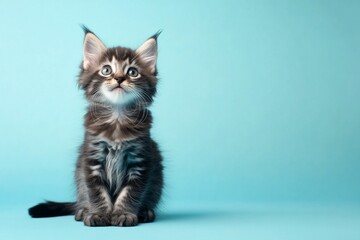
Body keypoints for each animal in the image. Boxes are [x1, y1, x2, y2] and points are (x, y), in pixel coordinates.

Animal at [28, 28, 164, 227]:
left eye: (132, 72)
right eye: (106, 70)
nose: (119, 78)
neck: (117, 117)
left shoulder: (140, 161)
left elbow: (130, 193)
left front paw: (124, 213)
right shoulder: (92, 159)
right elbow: (96, 193)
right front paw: (98, 214)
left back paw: (145, 212)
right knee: (83, 198)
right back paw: (83, 210)